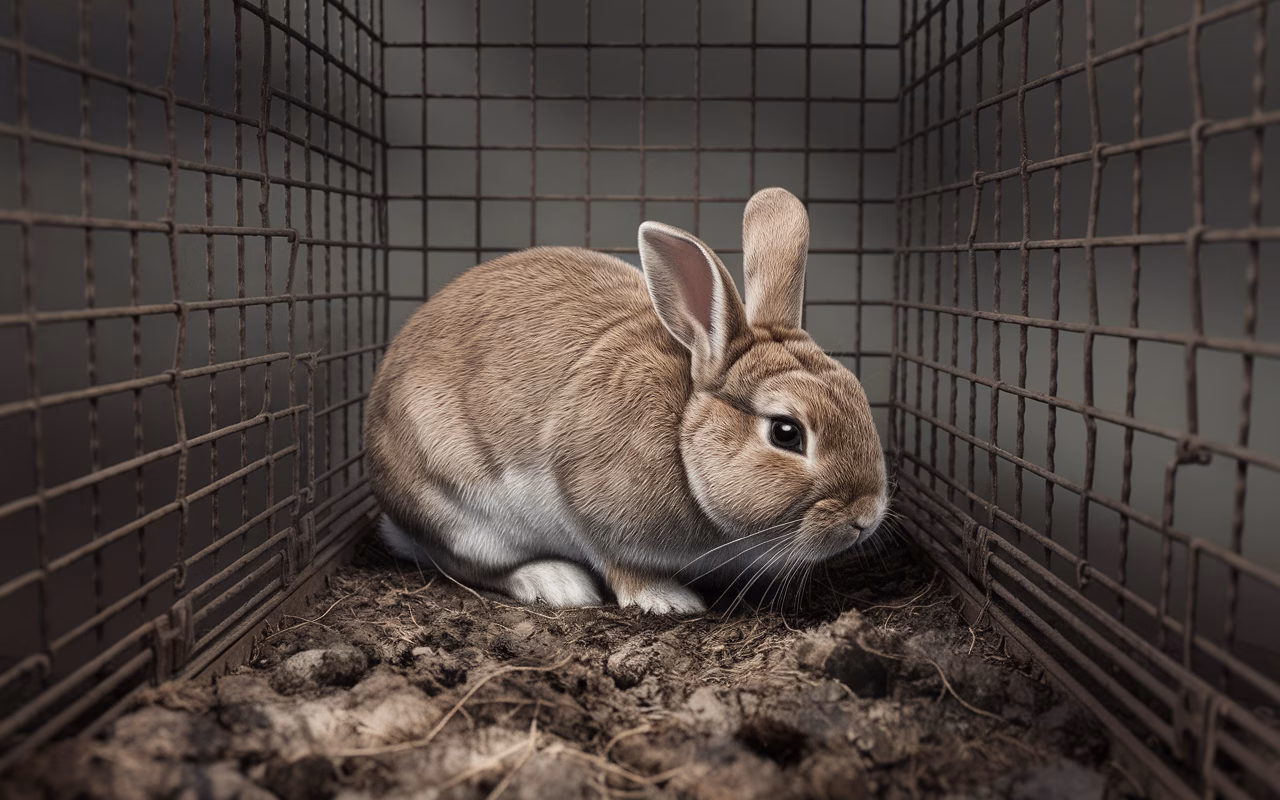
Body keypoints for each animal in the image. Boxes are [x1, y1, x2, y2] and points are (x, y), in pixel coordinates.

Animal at [363, 187, 890, 614]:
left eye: (858, 394)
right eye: (786, 432)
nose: (865, 518)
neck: (683, 434)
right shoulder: (585, 506)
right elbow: (619, 563)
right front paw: (668, 599)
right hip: (458, 508)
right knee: (462, 563)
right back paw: (556, 582)